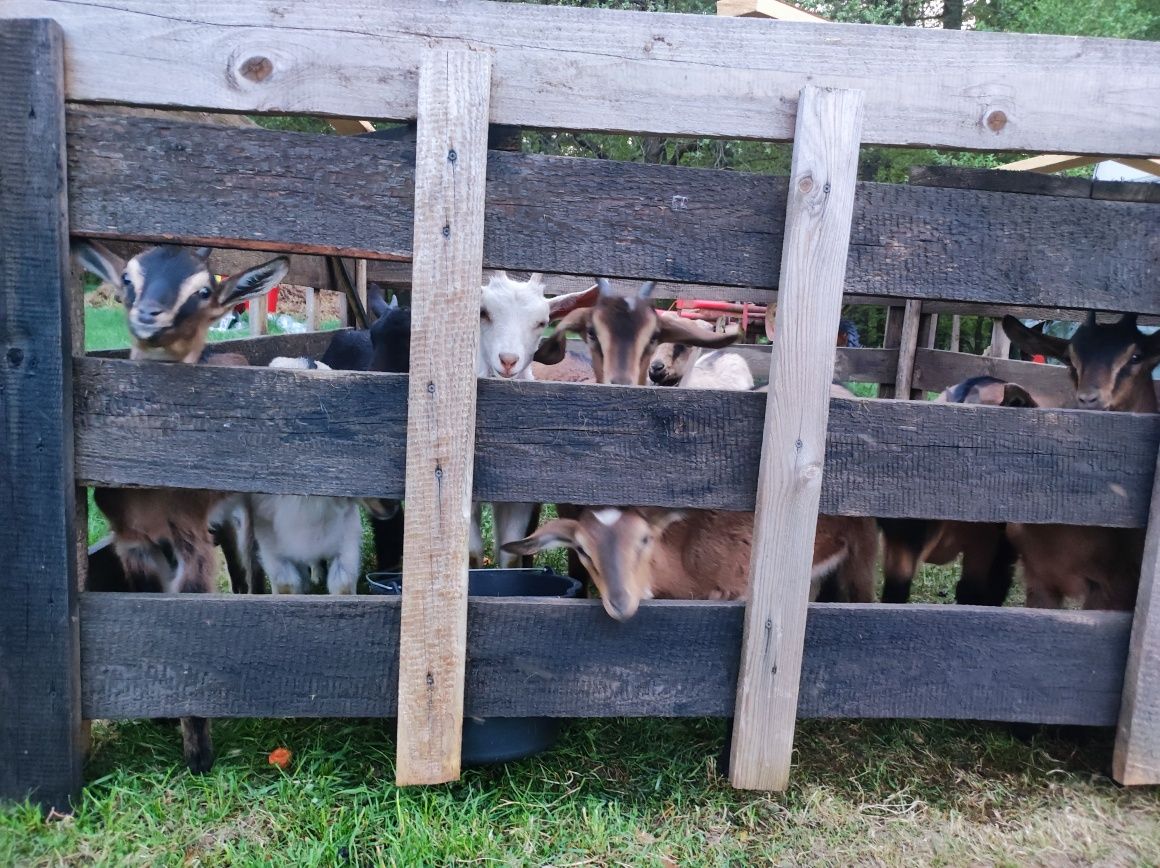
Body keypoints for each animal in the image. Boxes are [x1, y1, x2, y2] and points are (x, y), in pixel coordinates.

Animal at [73, 239, 286, 775]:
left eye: (203, 290)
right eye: (129, 278)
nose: (150, 315)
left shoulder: (190, 541)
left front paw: (198, 752)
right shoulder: (135, 546)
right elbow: (154, 612)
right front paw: (162, 714)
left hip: (240, 512)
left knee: (249, 569)